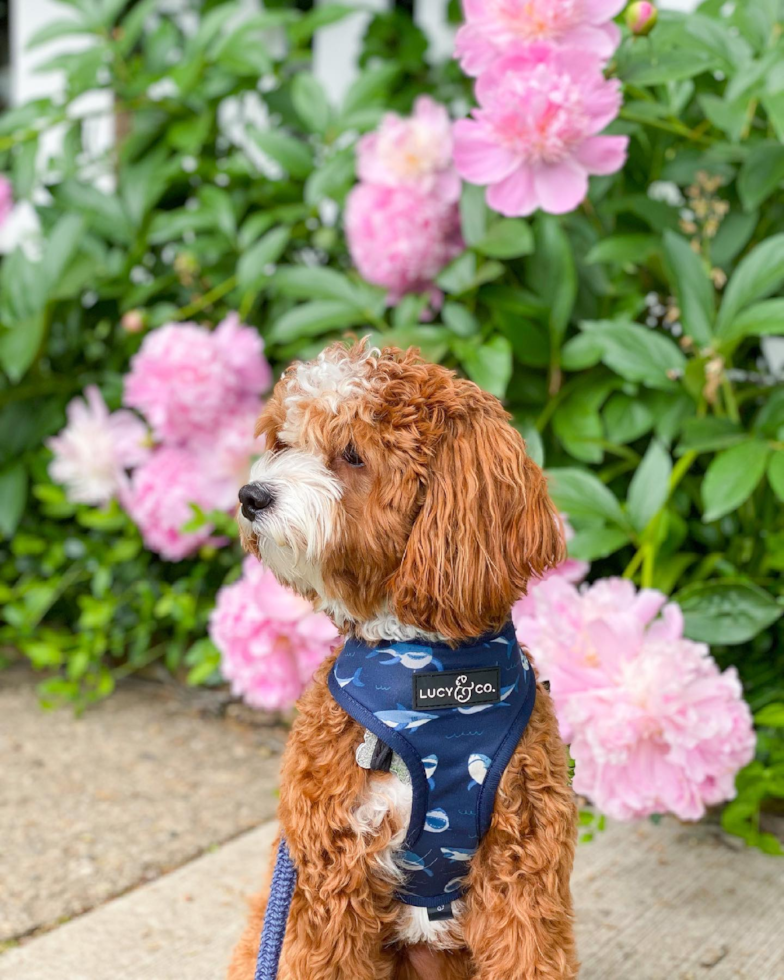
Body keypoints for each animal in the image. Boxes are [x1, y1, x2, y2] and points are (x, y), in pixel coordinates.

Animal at [225, 342, 576, 980]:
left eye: (352, 454)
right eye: (284, 443)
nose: (251, 496)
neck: (428, 670)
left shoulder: (523, 868)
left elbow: (528, 951)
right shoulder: (328, 875)